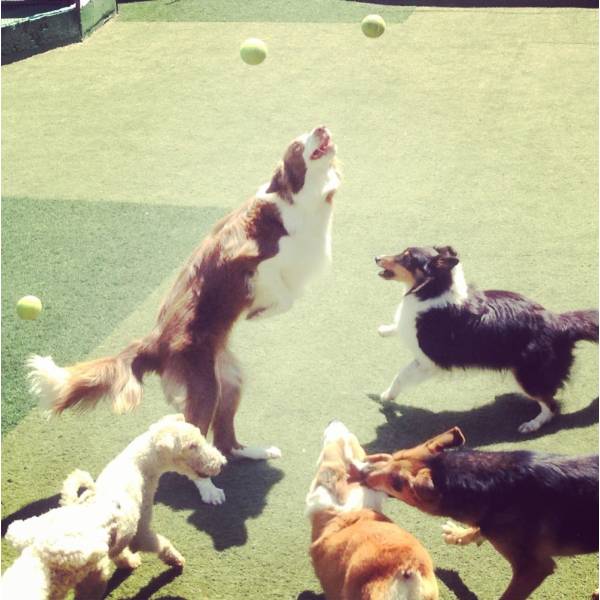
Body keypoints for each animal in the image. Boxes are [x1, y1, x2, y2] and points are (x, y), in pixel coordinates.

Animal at [1, 412, 226, 600]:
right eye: (192, 446)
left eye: (200, 438)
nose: (222, 462)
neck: (136, 466)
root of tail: (38, 552)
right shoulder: (141, 532)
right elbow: (163, 545)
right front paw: (177, 561)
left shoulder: (122, 535)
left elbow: (120, 553)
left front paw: (131, 563)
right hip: (90, 578)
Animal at [27, 126, 342, 506]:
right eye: (298, 145)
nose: (322, 128)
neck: (298, 201)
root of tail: (152, 342)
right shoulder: (245, 260)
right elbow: (282, 295)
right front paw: (259, 311)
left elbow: (289, 295)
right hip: (204, 387)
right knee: (195, 440)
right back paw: (208, 488)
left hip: (228, 380)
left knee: (224, 439)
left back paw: (253, 451)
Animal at [354, 426, 596, 600]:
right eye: (396, 455)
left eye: (396, 483)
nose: (361, 470)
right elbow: (479, 529)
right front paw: (459, 535)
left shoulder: (534, 568)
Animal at [376, 246, 596, 434]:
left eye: (407, 257)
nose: (376, 257)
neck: (432, 290)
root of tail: (559, 322)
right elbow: (398, 327)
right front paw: (384, 330)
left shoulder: (428, 362)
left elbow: (401, 376)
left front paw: (386, 396)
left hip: (527, 373)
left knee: (551, 405)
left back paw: (532, 424)